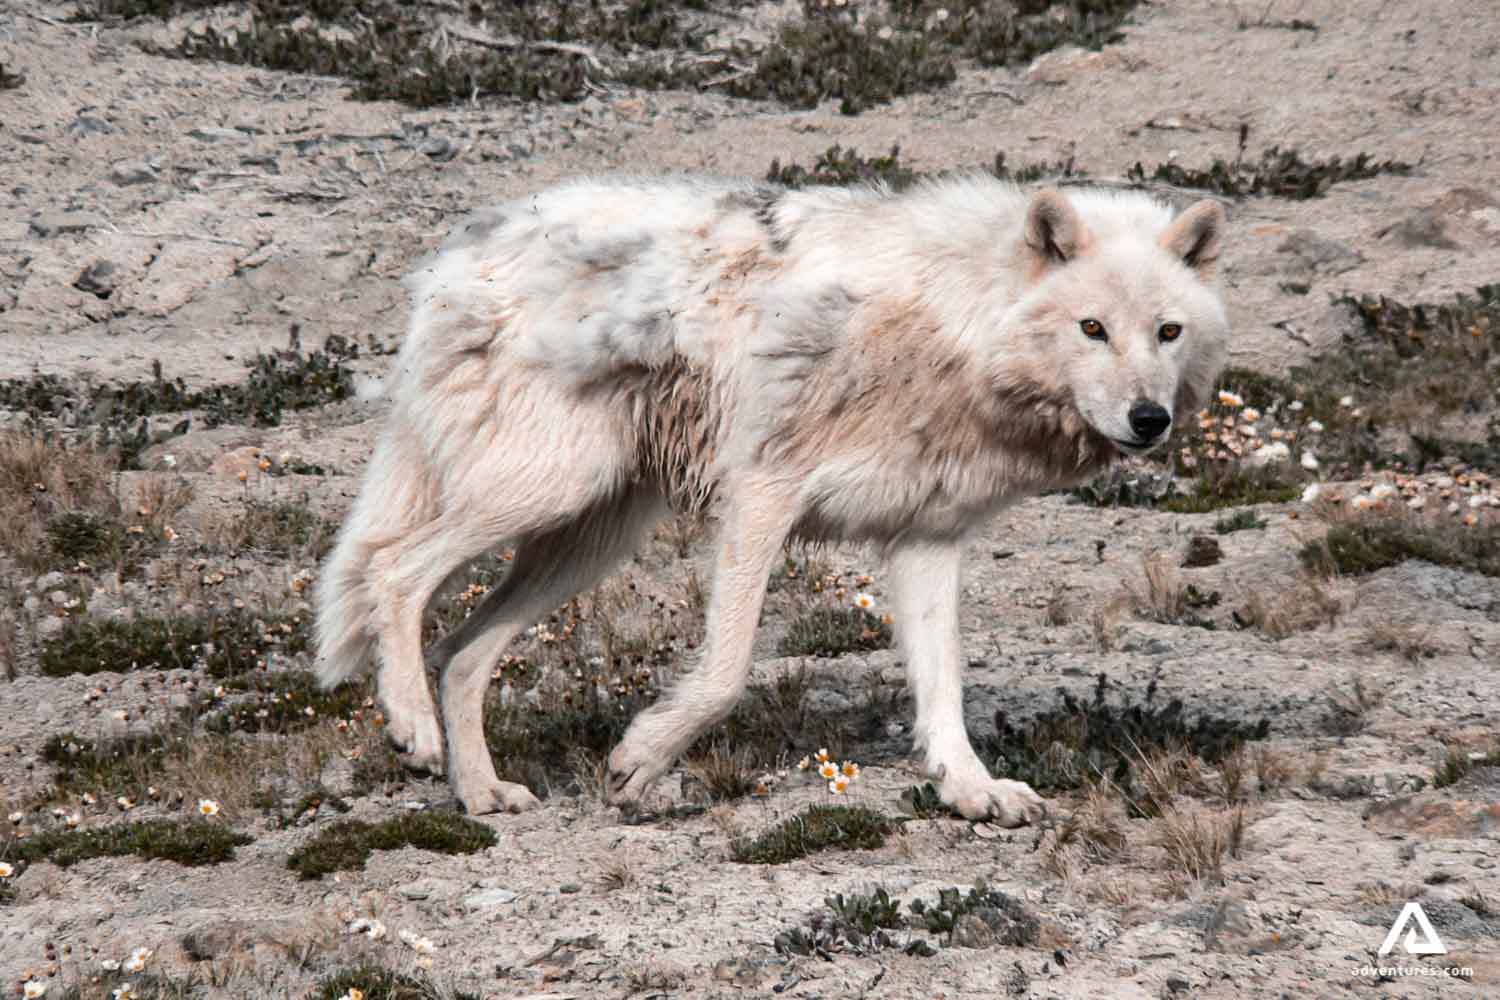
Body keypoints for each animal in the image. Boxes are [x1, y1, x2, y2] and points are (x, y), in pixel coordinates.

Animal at [314, 172, 1229, 826]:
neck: (957, 327)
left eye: (1168, 332)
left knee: (462, 652)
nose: (1150, 420)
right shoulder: (761, 496)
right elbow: (725, 671)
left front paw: (971, 791)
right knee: (389, 570)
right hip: (545, 492)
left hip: (588, 538)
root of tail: (459, 257)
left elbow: (944, 689)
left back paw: (479, 795)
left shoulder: (926, 540)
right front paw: (643, 758)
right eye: (1091, 329)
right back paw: (411, 728)